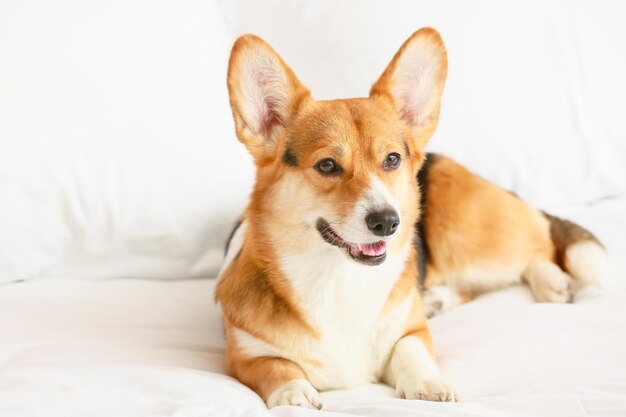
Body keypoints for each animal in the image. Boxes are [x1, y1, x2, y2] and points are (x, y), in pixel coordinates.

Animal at [214, 28, 604, 406]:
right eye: (327, 165)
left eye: (391, 159)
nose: (387, 222)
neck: (337, 278)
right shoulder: (243, 356)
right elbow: (277, 367)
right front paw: (294, 394)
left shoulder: (411, 332)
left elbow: (409, 350)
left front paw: (428, 382)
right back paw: (437, 300)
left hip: (466, 237)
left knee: (540, 246)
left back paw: (550, 281)